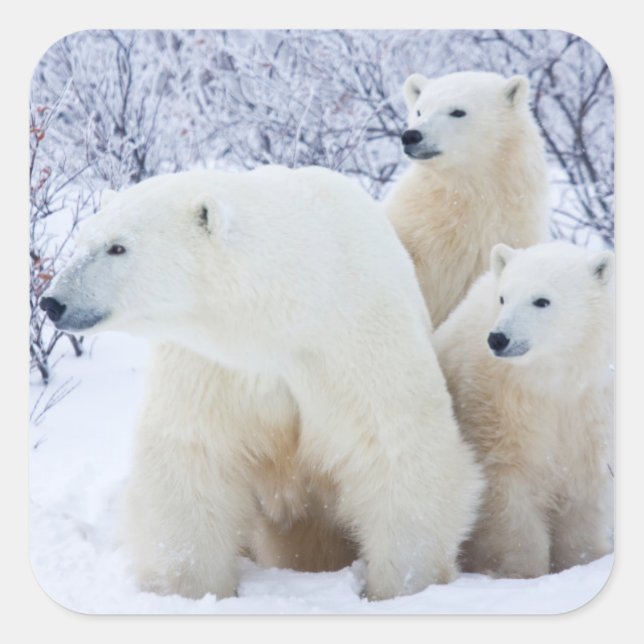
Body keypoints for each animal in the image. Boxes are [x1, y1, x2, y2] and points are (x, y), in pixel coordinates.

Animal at [40, 165, 484, 601]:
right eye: (82, 239)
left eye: (118, 247)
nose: (52, 302)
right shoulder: (212, 366)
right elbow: (192, 456)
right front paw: (189, 590)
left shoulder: (353, 342)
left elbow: (395, 450)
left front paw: (403, 586)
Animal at [432, 241, 614, 578]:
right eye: (503, 297)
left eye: (541, 300)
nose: (498, 338)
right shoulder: (497, 405)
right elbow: (508, 489)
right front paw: (523, 572)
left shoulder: (591, 410)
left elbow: (585, 488)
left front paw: (581, 561)